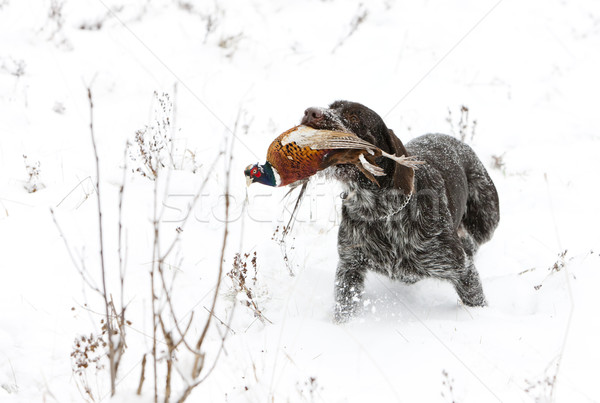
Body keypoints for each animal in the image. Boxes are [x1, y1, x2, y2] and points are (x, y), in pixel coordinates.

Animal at [300, 100, 502, 322]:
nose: (310, 112)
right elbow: (344, 307)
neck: (380, 212)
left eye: (354, 117)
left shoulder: (461, 269)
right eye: (331, 106)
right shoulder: (349, 267)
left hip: (486, 221)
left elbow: (474, 297)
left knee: (475, 241)